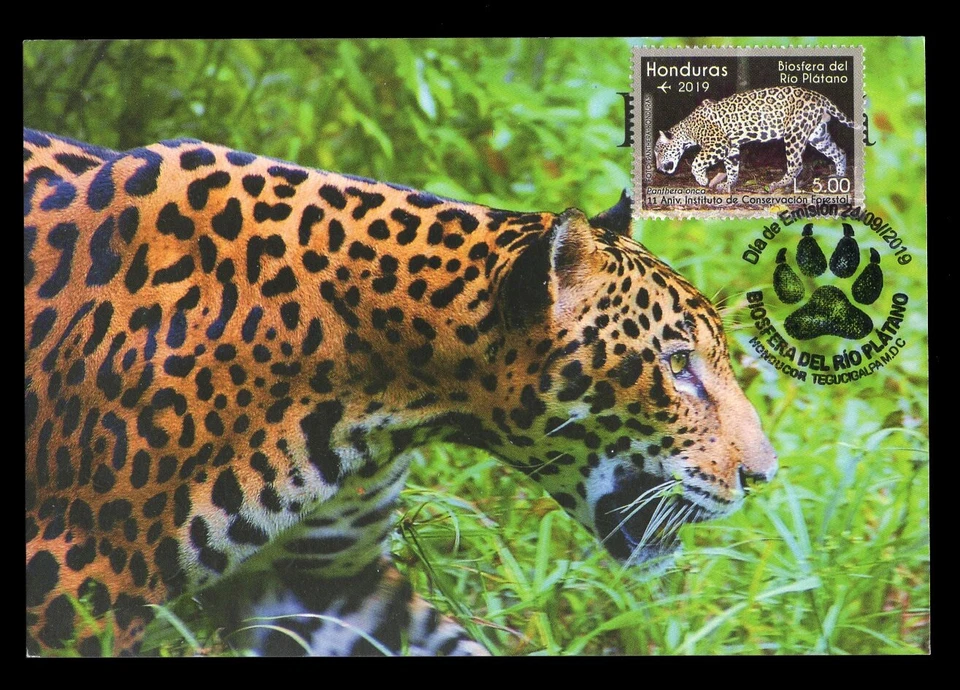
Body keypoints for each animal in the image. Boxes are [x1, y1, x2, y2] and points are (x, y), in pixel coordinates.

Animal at [654, 86, 855, 193]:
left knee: (796, 164)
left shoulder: (717, 144)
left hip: (794, 133)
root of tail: (819, 96)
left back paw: (778, 184)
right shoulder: (731, 147)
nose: (658, 168)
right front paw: (728, 184)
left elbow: (697, 162)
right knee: (839, 152)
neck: (688, 129)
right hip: (817, 135)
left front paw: (702, 180)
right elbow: (732, 167)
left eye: (659, 151)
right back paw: (839, 176)